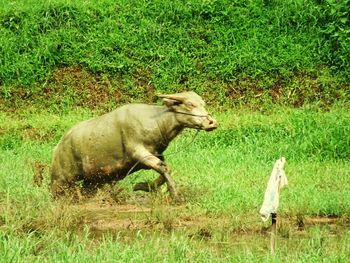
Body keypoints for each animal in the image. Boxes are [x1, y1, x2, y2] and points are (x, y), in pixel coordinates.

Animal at [50, 92, 217, 199]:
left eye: (203, 104)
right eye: (189, 104)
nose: (212, 122)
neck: (156, 122)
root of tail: (58, 147)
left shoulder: (155, 153)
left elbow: (166, 168)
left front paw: (143, 186)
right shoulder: (138, 152)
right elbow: (163, 168)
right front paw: (176, 195)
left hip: (92, 180)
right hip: (61, 179)